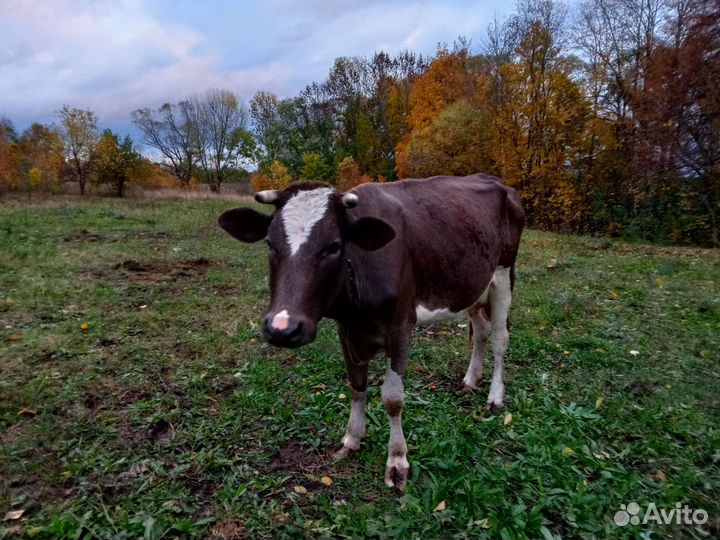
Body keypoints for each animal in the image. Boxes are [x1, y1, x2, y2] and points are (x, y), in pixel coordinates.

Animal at [218, 173, 525, 490]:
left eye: (334, 246)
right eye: (270, 243)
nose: (282, 328)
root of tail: (493, 179)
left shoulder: (401, 326)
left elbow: (393, 397)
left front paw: (397, 460)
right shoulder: (347, 329)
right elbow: (356, 384)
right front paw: (352, 439)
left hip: (504, 273)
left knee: (500, 339)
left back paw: (495, 396)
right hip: (474, 284)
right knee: (481, 330)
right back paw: (470, 379)